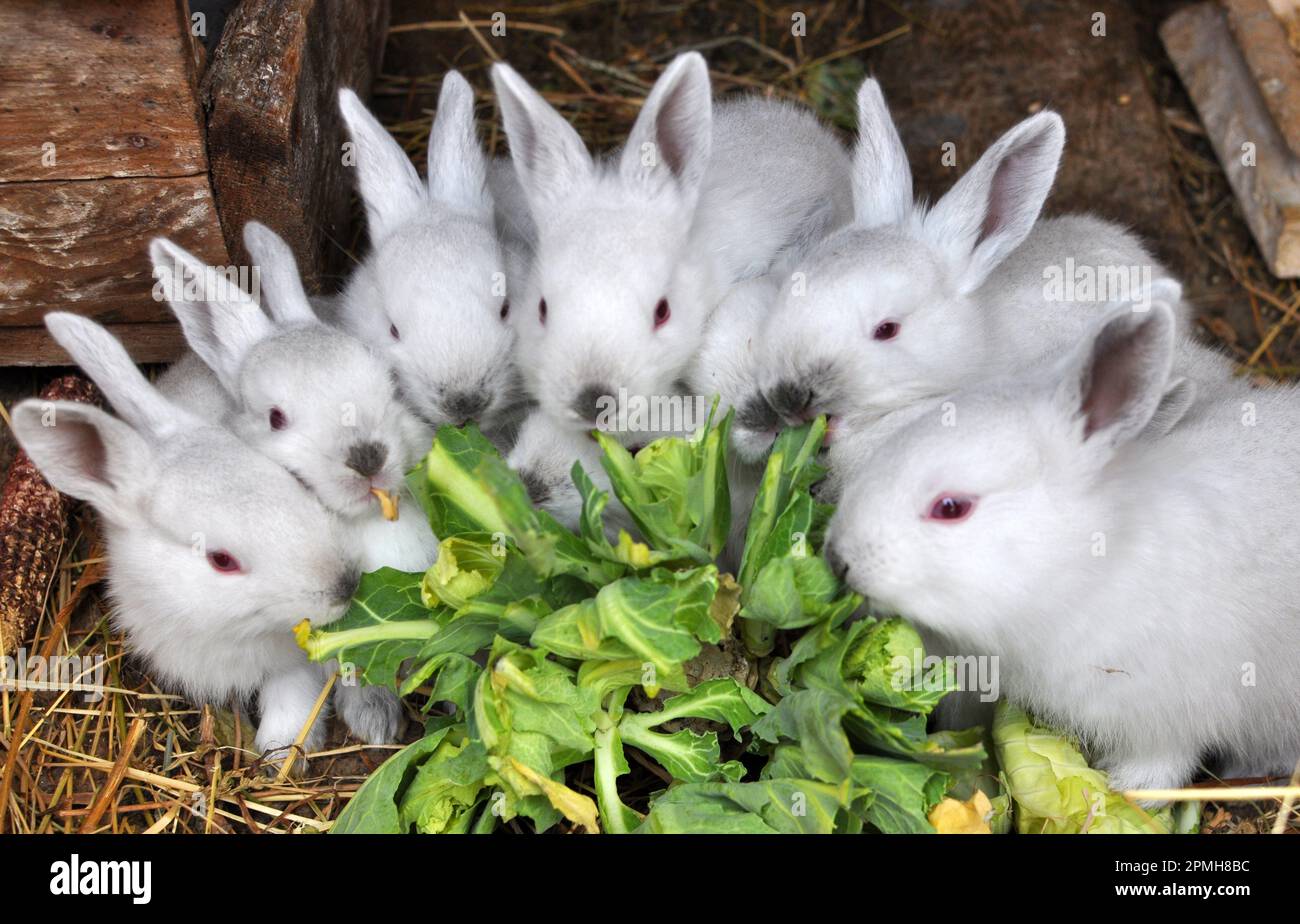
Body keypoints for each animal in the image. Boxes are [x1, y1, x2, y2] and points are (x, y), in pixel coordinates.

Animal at [11, 313, 399, 761]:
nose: (344, 584)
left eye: (291, 483)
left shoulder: (296, 662)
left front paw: (281, 752)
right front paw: (278, 754)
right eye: (221, 560)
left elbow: (301, 691)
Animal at [824, 300, 1300, 793]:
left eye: (951, 507)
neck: (1088, 562)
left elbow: (1158, 768)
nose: (839, 557)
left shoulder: (1170, 716)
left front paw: (1117, 791)